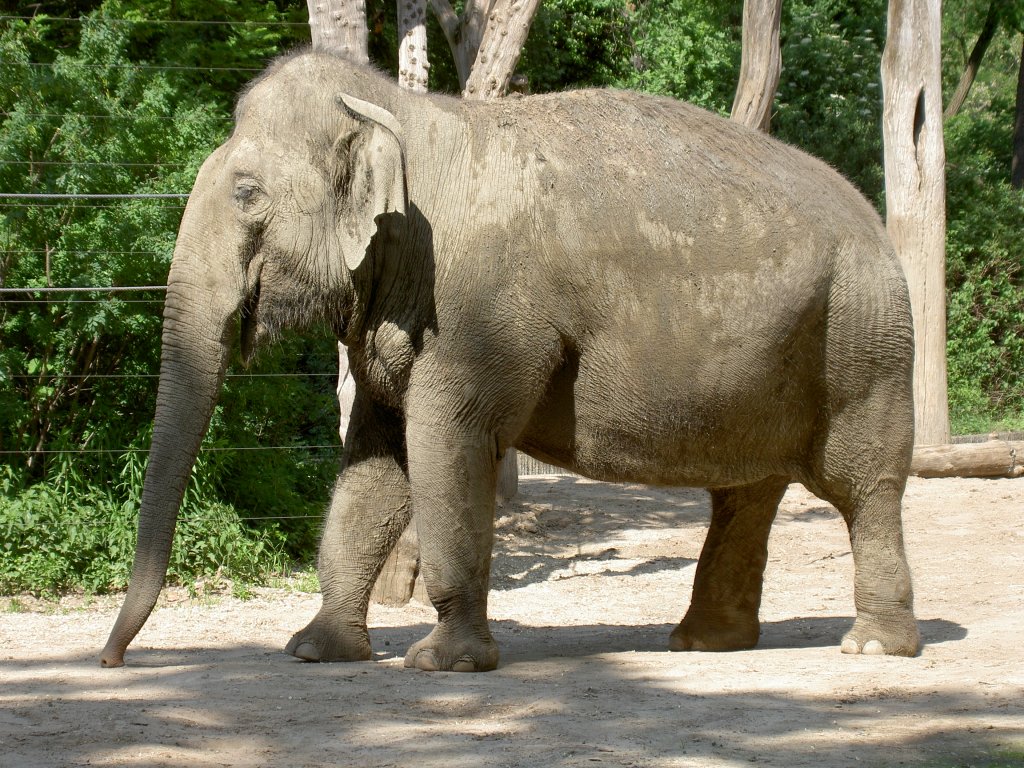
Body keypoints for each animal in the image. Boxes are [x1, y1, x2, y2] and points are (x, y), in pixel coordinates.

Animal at [101, 49, 921, 671]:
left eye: (246, 194)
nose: (111, 659)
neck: (403, 113)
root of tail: (876, 222)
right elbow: (375, 463)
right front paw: (314, 651)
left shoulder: (476, 313)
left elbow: (446, 443)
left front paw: (443, 663)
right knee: (746, 492)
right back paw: (702, 645)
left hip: (864, 340)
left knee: (863, 484)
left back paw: (873, 647)